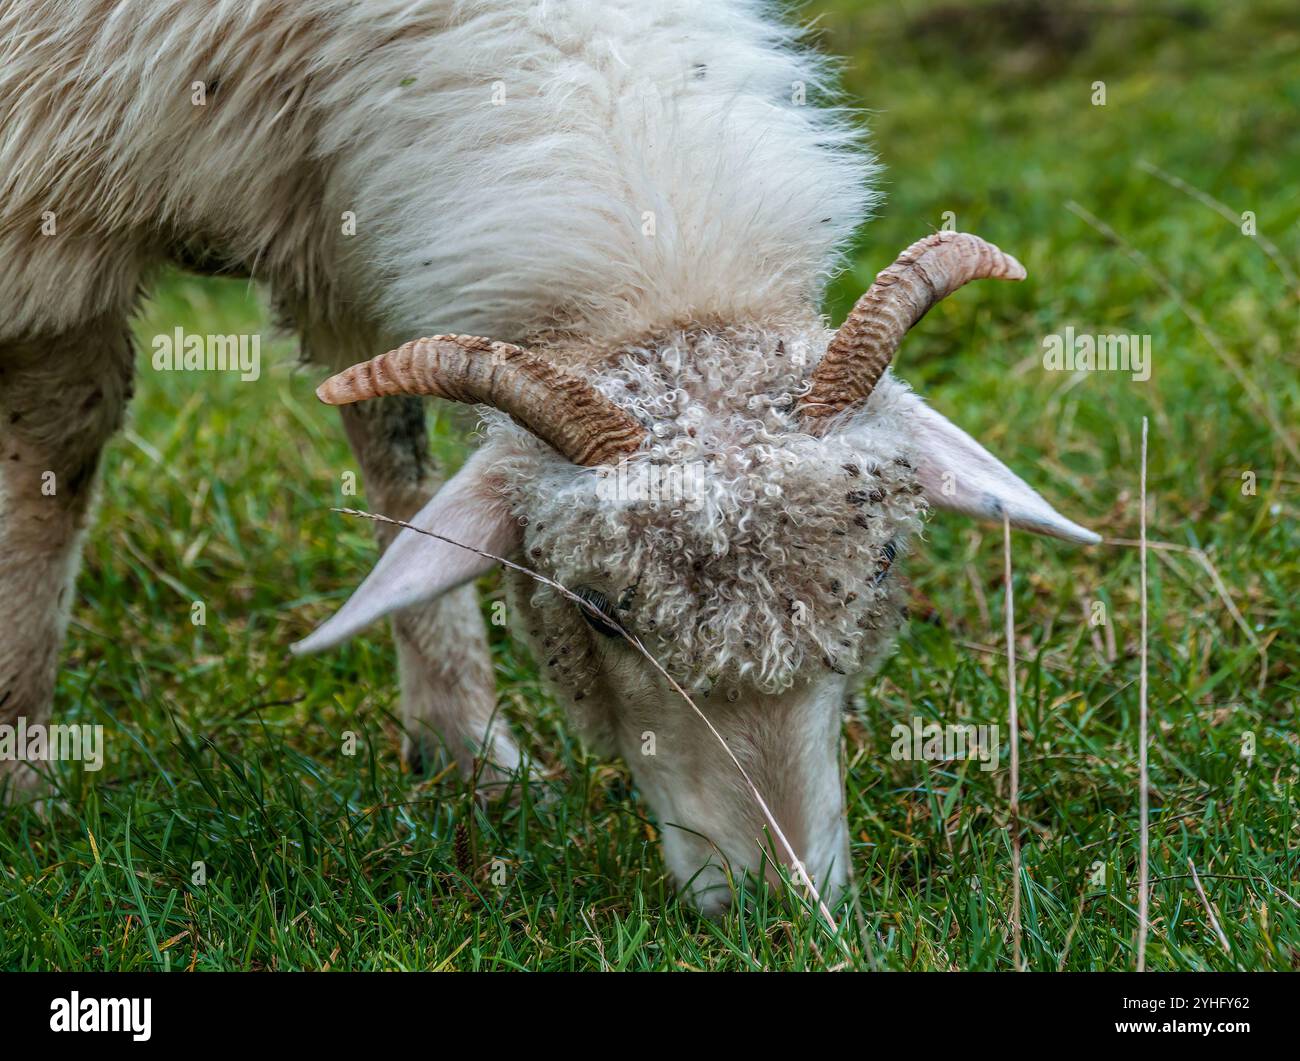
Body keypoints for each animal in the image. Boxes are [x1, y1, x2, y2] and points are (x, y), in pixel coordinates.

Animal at [0, 0, 1097, 910]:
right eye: (599, 612)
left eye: (880, 567)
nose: (780, 904)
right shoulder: (47, 203)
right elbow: (57, 452)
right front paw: (21, 770)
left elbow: (396, 461)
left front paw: (465, 748)